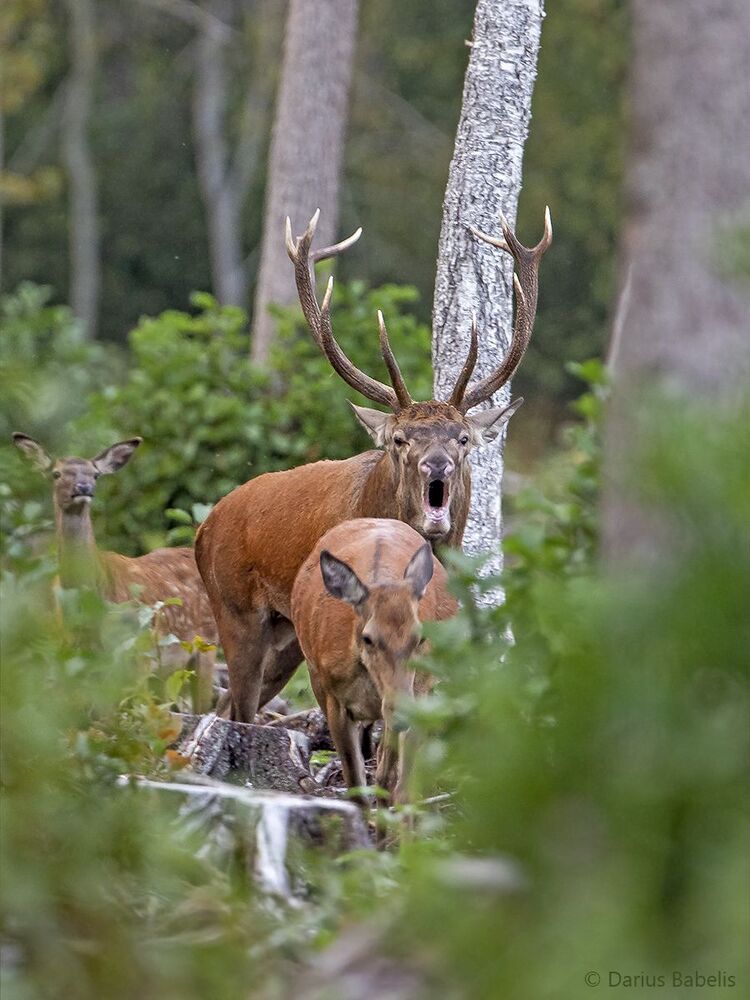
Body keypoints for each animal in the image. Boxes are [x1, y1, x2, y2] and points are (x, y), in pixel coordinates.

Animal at [12, 433, 219, 711]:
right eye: (56, 473)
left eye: (95, 474)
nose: (83, 488)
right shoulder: (74, 651)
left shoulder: (137, 650)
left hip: (206, 643)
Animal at [195, 207, 551, 723]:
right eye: (400, 439)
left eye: (463, 438)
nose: (437, 465)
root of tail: (203, 528)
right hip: (236, 611)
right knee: (239, 706)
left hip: (285, 636)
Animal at [292, 517, 458, 806]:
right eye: (368, 638)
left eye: (420, 637)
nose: (403, 709)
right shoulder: (334, 697)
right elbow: (356, 785)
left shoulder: (417, 691)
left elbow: (397, 784)